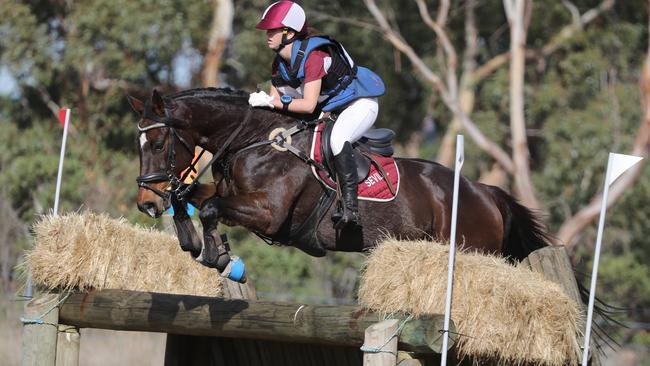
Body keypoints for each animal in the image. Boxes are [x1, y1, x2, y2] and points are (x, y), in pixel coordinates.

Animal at [128, 86, 552, 280]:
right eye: (139, 144)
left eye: (159, 143)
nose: (146, 203)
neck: (254, 139)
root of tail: (486, 193)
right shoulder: (231, 194)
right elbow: (189, 198)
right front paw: (192, 242)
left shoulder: (267, 213)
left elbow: (211, 208)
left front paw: (215, 255)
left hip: (473, 250)